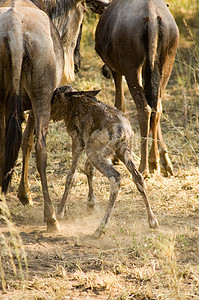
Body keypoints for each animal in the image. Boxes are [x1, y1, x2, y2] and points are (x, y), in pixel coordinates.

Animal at [51, 85, 159, 238]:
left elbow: (71, 177)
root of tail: (122, 130)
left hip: (96, 154)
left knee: (116, 178)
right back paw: (152, 220)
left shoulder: (78, 142)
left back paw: (100, 229)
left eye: (54, 96)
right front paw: (90, 203)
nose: (49, 113)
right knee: (138, 178)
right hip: (122, 153)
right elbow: (88, 169)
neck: (73, 104)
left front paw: (60, 211)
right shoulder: (89, 146)